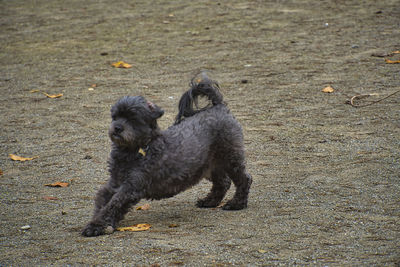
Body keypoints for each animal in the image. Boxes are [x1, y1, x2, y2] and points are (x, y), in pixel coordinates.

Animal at [81, 74, 252, 238]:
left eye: (133, 118)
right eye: (115, 116)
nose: (117, 128)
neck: (137, 149)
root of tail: (219, 107)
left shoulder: (131, 187)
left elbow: (113, 205)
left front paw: (96, 226)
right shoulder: (115, 183)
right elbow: (102, 201)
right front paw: (98, 222)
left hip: (230, 158)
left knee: (244, 179)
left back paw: (237, 204)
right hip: (210, 164)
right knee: (222, 182)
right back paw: (210, 201)